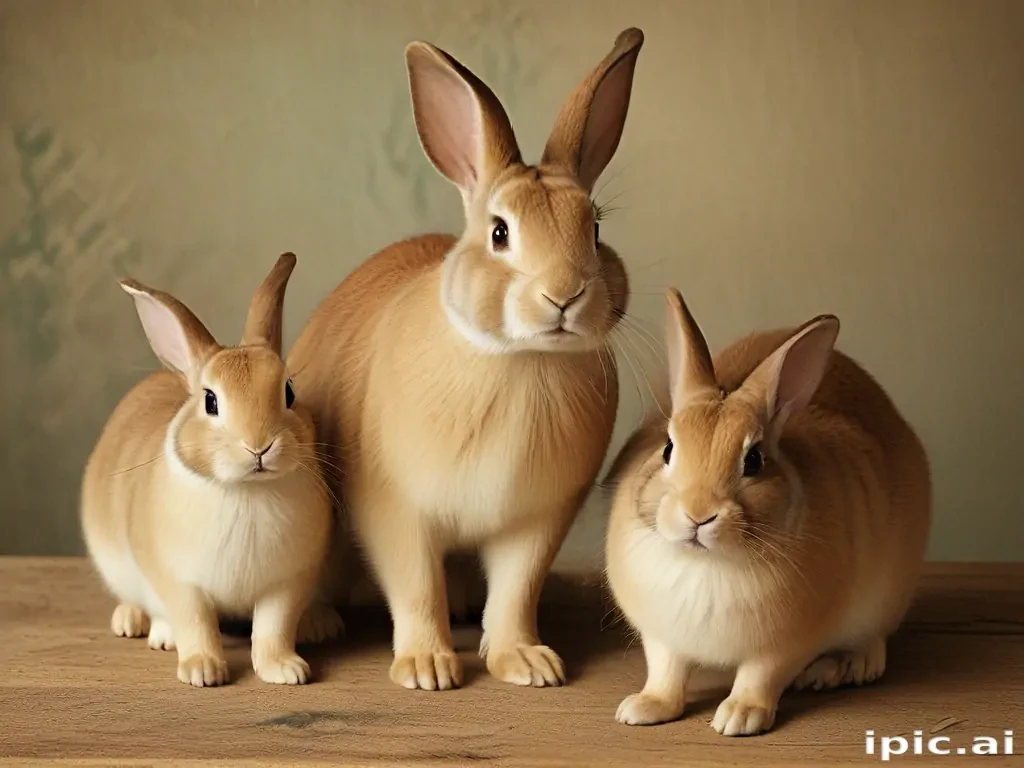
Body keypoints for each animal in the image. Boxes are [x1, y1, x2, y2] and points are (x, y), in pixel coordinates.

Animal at [80, 252, 335, 687]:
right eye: (211, 401)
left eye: (289, 392)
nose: (259, 446)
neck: (246, 490)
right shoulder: (181, 583)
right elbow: (195, 623)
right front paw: (202, 671)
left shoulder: (285, 585)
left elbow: (273, 628)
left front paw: (286, 670)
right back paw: (140, 627)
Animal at [286, 28, 645, 691]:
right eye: (500, 233)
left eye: (594, 228)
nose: (564, 296)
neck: (520, 357)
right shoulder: (396, 511)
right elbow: (413, 588)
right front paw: (427, 669)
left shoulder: (536, 525)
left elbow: (515, 592)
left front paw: (528, 664)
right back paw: (320, 624)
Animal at [605, 288, 931, 736]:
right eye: (667, 448)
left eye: (754, 460)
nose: (698, 515)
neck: (706, 563)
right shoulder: (662, 639)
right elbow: (666, 672)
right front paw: (644, 708)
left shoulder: (782, 646)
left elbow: (760, 677)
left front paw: (739, 718)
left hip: (886, 597)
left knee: (874, 642)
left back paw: (839, 669)